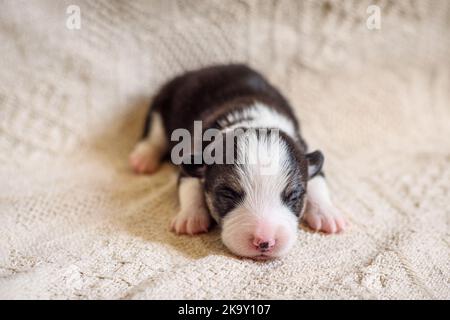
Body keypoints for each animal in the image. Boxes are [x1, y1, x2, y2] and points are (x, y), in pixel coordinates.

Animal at [128, 63, 346, 258]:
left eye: (293, 197)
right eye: (228, 194)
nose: (264, 242)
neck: (253, 122)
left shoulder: (304, 150)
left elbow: (317, 179)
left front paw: (328, 214)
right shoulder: (193, 155)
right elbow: (189, 186)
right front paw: (191, 218)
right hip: (162, 104)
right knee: (154, 134)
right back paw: (143, 158)